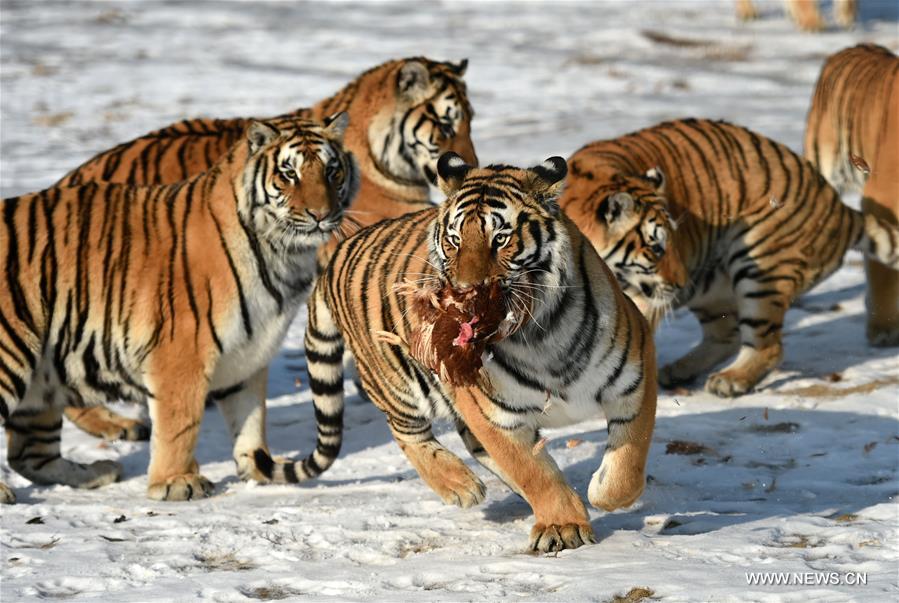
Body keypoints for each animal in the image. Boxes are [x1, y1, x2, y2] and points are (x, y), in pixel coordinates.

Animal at [0, 114, 358, 504]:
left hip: (43, 379)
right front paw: (176, 482)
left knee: (29, 454)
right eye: (289, 173)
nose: (321, 214)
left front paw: (259, 466)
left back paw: (97, 472)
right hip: (13, 352)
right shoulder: (182, 352)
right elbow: (180, 424)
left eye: (332, 171)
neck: (284, 254)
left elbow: (251, 415)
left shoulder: (248, 353)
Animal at [298, 152, 656, 552]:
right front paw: (563, 526)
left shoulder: (635, 373)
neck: (540, 335)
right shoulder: (493, 414)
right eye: (454, 240)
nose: (463, 292)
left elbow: (628, 460)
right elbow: (532, 472)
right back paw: (461, 485)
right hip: (396, 385)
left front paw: (600, 495)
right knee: (407, 433)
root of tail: (335, 257)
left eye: (500, 239)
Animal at [564, 119, 899, 398]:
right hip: (711, 287)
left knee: (767, 346)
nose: (682, 282)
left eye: (673, 241)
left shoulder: (639, 299)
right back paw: (678, 371)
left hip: (760, 267)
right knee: (727, 335)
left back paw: (730, 380)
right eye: (657, 248)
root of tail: (839, 208)